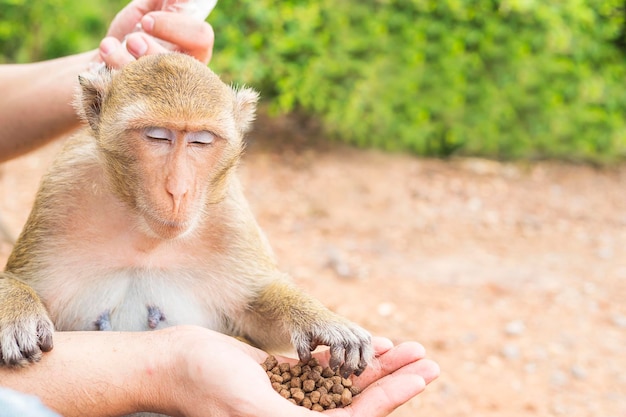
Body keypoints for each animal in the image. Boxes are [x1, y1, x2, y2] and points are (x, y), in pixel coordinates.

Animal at [0, 52, 370, 384]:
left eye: (200, 141)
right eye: (157, 136)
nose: (178, 191)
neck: (145, 234)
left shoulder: (230, 216)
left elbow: (254, 310)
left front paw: (321, 322)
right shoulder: (62, 188)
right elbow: (21, 280)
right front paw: (17, 312)